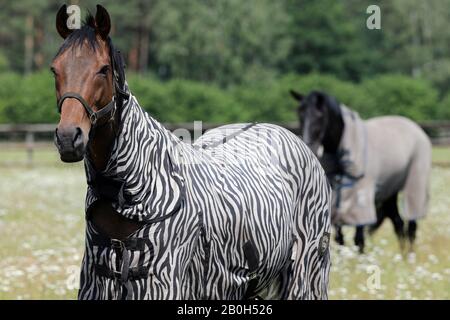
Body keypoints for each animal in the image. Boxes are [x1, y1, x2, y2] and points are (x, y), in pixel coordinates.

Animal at [290, 89, 430, 254]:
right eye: (300, 112)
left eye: (320, 114)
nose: (309, 146)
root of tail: (416, 129)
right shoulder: (336, 201)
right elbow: (339, 239)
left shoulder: (360, 200)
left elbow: (359, 239)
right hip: (390, 193)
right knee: (398, 223)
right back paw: (403, 256)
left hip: (414, 182)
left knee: (412, 225)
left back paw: (410, 255)